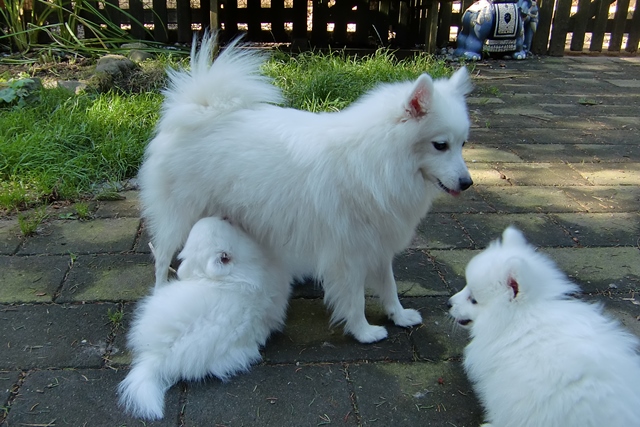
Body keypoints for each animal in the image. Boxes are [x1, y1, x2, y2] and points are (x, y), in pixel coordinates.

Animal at [138, 31, 473, 343]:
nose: (468, 183)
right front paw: (363, 332)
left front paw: (399, 316)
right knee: (162, 258)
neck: (378, 160)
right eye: (440, 145)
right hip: (180, 215)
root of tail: (199, 108)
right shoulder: (348, 252)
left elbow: (389, 285)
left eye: (462, 144)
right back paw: (159, 294)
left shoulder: (378, 243)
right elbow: (355, 298)